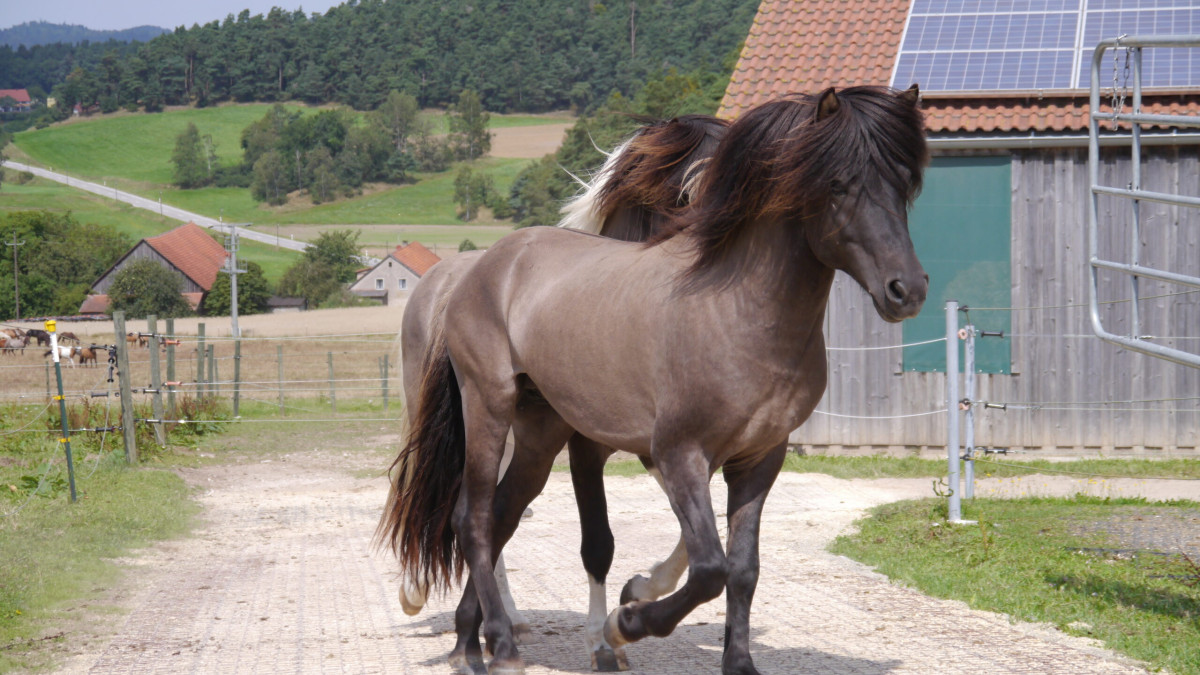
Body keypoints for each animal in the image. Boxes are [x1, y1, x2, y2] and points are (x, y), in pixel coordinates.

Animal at [380, 85, 928, 675]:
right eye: (837, 183)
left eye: (904, 182)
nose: (906, 290)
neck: (737, 313)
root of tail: (481, 269)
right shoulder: (676, 453)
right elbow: (704, 566)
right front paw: (623, 623)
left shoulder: (758, 460)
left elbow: (742, 569)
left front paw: (734, 661)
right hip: (488, 406)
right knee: (474, 519)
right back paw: (500, 645)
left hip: (539, 434)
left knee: (500, 516)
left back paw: (468, 642)